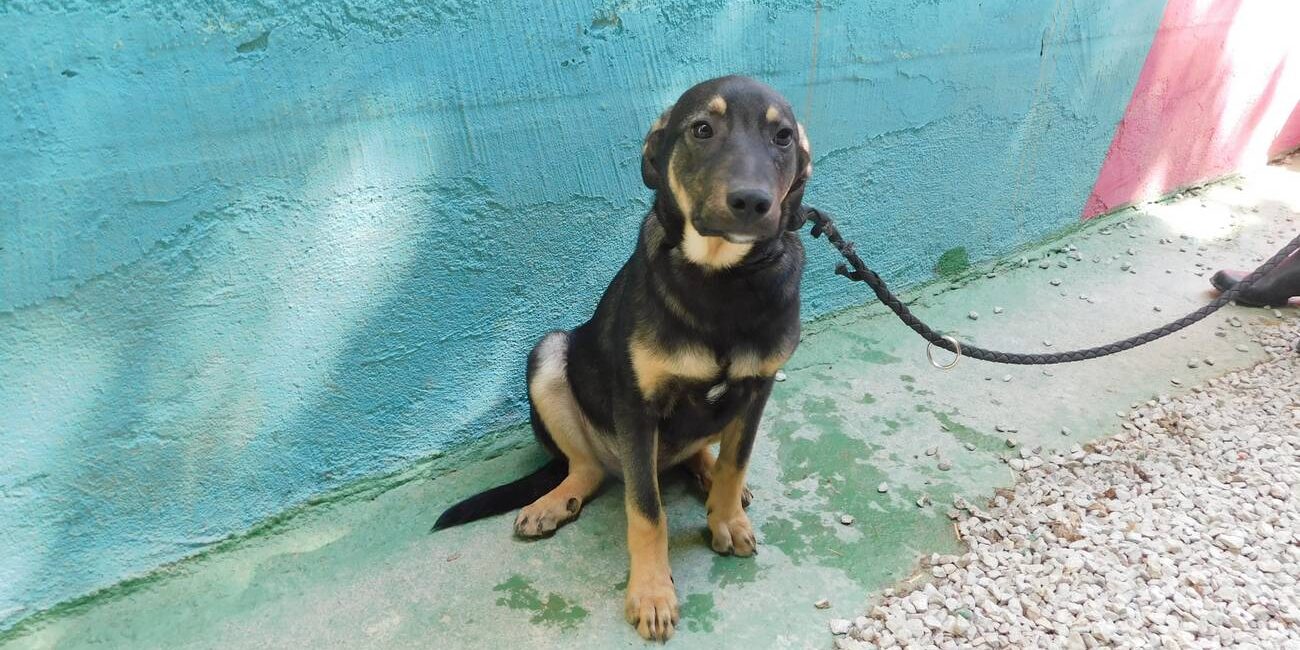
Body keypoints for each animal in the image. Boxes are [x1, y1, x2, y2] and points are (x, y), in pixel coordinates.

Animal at [433, 75, 812, 641]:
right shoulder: (637, 406)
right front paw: (652, 593)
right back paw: (555, 500)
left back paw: (705, 472)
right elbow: (647, 511)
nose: (752, 202)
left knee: (694, 453)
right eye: (702, 129)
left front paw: (725, 518)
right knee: (588, 468)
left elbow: (736, 463)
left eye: (783, 137)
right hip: (551, 356)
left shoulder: (758, 386)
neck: (720, 278)